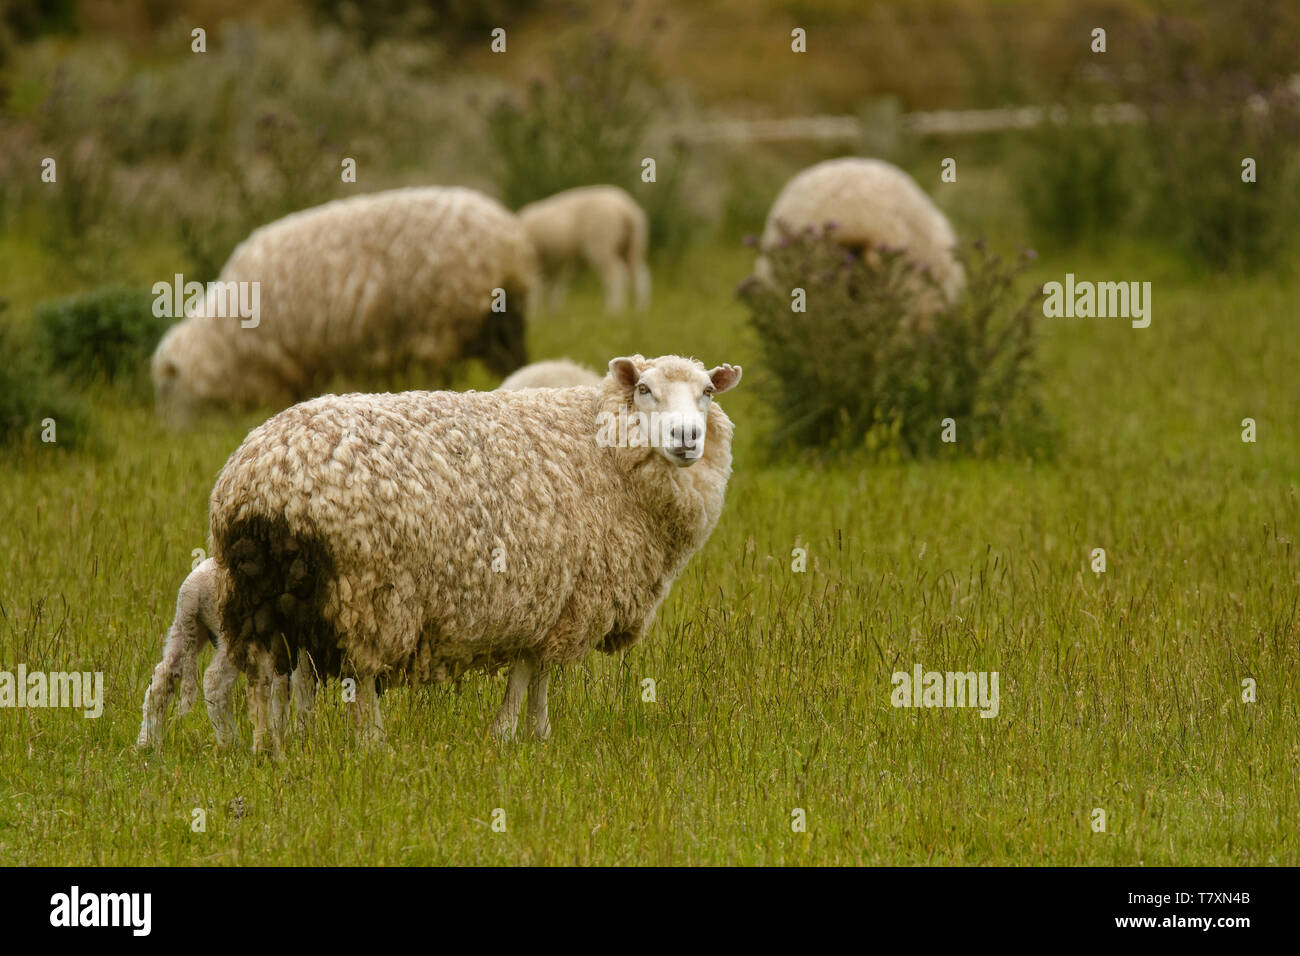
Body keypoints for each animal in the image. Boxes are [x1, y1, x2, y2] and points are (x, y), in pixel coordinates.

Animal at [151, 186, 538, 426]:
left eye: (167, 388)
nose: (170, 436)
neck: (224, 339)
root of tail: (509, 239)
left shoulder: (285, 361)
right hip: (500, 318)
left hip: (446, 322)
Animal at [208, 353, 742, 754]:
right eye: (645, 389)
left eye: (707, 393)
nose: (687, 437)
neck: (604, 449)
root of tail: (265, 477)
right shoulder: (561, 598)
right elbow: (532, 672)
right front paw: (514, 733)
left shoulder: (548, 598)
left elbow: (536, 672)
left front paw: (532, 735)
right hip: (367, 593)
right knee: (359, 674)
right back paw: (371, 745)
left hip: (263, 593)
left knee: (268, 675)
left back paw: (274, 746)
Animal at [517, 186, 650, 314]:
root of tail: (624, 208)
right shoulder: (558, 262)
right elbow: (554, 286)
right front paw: (552, 312)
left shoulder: (536, 258)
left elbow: (538, 287)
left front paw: (536, 312)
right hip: (632, 246)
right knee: (640, 274)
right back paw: (640, 309)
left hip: (601, 244)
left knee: (615, 275)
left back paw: (613, 310)